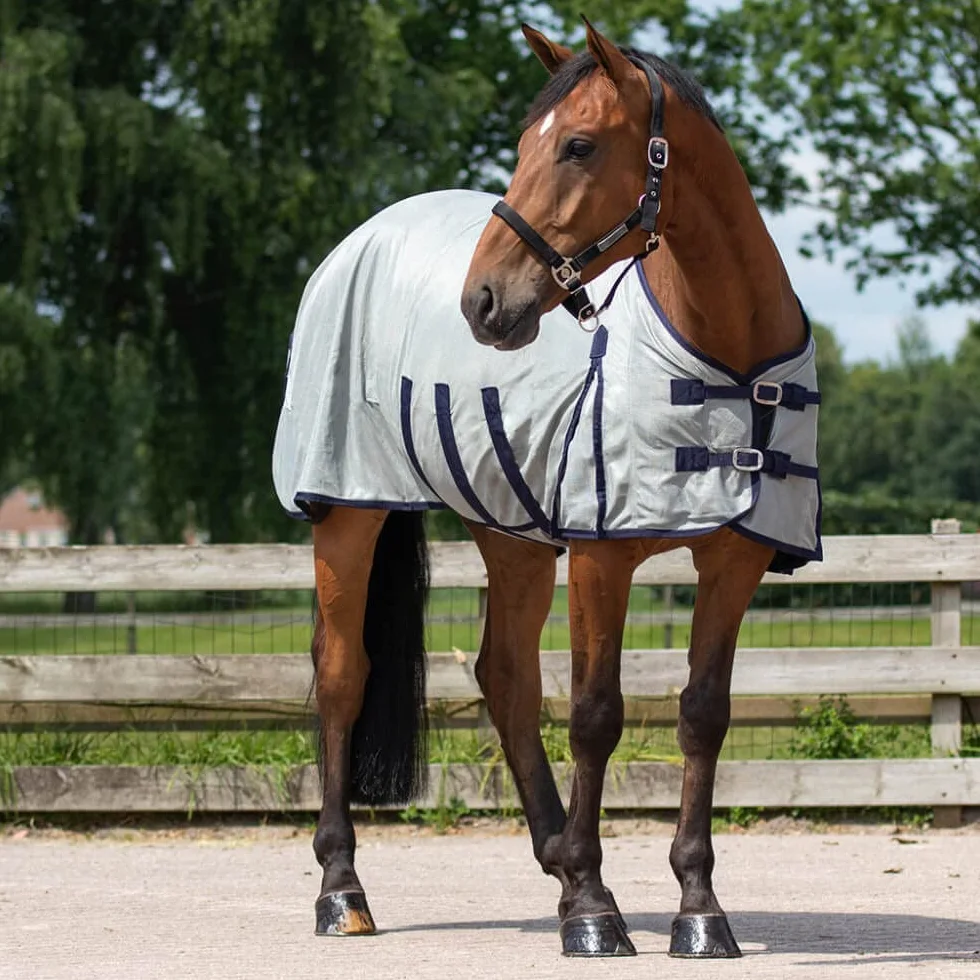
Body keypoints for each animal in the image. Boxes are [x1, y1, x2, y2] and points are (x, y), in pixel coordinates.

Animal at [272, 20, 820, 959]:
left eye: (578, 144)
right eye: (527, 141)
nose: (484, 302)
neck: (729, 353)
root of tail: (364, 238)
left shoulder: (734, 560)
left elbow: (703, 713)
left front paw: (697, 906)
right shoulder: (605, 556)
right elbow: (596, 713)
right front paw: (595, 910)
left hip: (513, 534)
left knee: (506, 676)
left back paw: (558, 859)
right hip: (349, 511)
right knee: (343, 673)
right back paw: (343, 890)